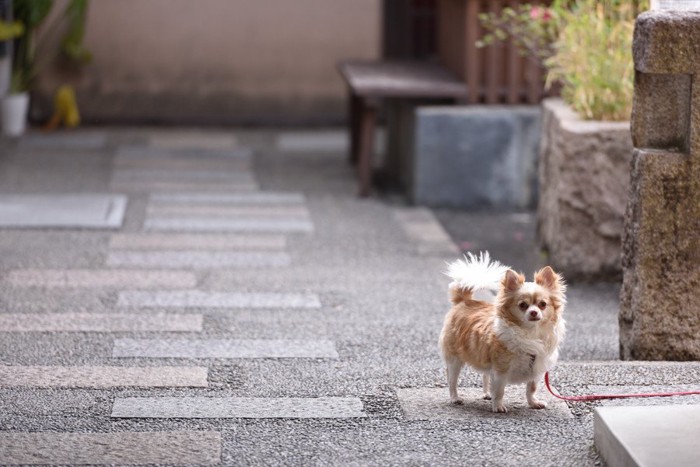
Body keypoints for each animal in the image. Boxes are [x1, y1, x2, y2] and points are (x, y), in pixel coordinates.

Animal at [440, 252, 568, 414]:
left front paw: (533, 403)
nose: (533, 312)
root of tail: (463, 301)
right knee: (452, 379)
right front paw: (498, 406)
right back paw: (455, 398)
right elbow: (500, 390)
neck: (530, 332)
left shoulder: (535, 368)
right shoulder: (501, 369)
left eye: (542, 304)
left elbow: (531, 389)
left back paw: (486, 394)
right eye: (523, 305)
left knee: (485, 375)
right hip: (455, 359)